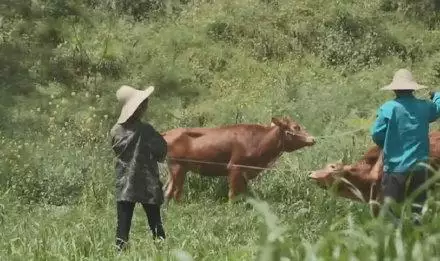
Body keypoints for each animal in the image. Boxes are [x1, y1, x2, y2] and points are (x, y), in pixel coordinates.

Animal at [162, 116, 316, 201]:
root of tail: (167, 132)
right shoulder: (235, 167)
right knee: (175, 192)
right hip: (178, 167)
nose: (313, 138)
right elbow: (232, 194)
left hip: (175, 169)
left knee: (167, 191)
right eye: (296, 127)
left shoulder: (246, 172)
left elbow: (243, 193)